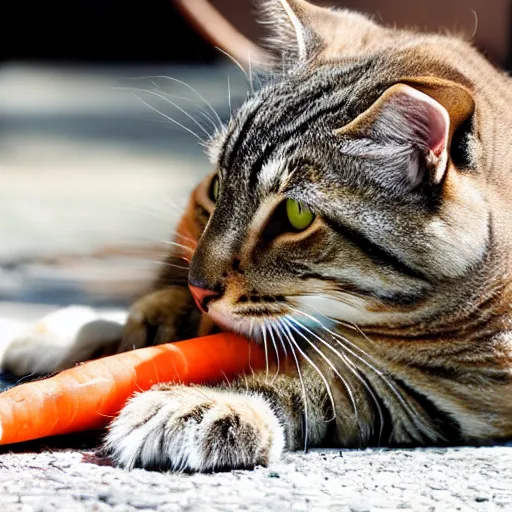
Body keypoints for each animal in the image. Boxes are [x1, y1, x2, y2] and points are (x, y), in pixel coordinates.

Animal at [2, 0, 510, 472]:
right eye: (216, 185)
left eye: (297, 215)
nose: (199, 288)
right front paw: (116, 325)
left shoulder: (469, 388)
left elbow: (329, 384)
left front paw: (203, 403)